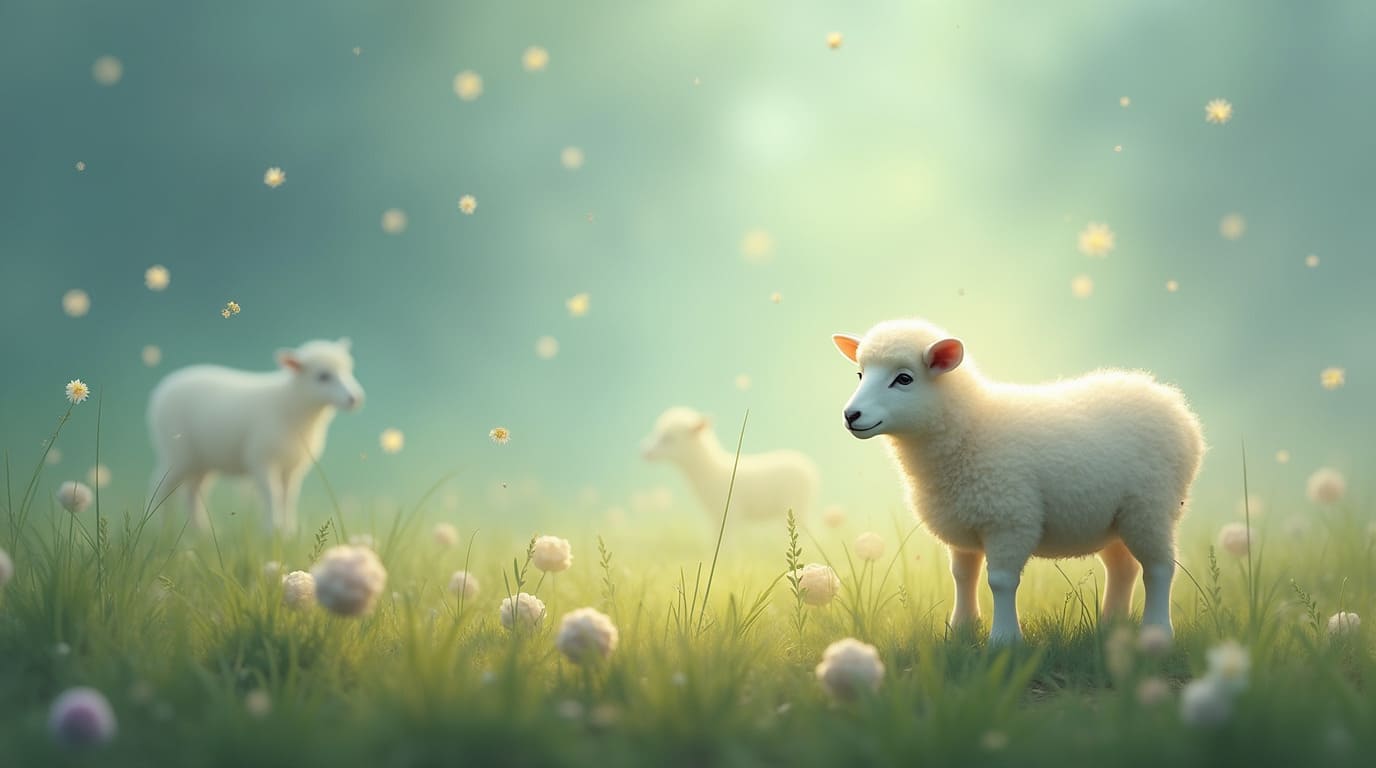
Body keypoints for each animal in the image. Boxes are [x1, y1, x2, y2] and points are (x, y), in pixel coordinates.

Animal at [147, 338, 364, 535]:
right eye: (323, 376)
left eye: (349, 370)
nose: (355, 398)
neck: (291, 403)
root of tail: (164, 388)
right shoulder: (261, 459)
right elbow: (272, 495)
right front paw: (272, 530)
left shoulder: (292, 465)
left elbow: (288, 497)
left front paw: (288, 532)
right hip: (176, 452)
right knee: (160, 486)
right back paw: (158, 528)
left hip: (202, 459)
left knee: (192, 491)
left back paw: (201, 532)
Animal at [641, 406, 819, 522]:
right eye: (656, 432)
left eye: (669, 438)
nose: (645, 452)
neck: (711, 471)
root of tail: (811, 469)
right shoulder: (716, 518)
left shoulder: (730, 514)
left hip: (799, 505)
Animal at [832, 319, 1204, 643]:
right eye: (860, 374)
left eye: (904, 379)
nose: (851, 415)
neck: (971, 428)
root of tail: (1175, 406)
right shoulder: (964, 522)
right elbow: (963, 577)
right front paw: (961, 631)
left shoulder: (1009, 519)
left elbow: (1000, 582)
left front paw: (1004, 640)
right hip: (1113, 518)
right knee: (1123, 568)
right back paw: (1111, 625)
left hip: (1151, 507)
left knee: (1159, 569)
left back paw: (1157, 631)